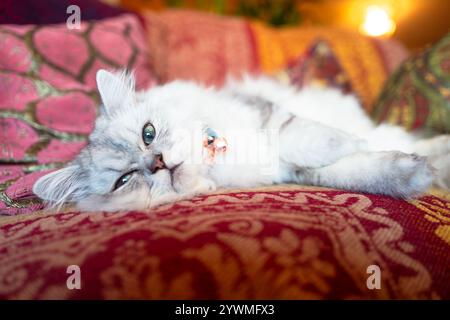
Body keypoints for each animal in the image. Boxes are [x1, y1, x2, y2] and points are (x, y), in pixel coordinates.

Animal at [32, 69, 450, 212]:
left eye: (148, 133)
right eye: (124, 180)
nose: (158, 164)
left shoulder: (266, 115)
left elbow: (302, 136)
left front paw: (349, 141)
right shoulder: (292, 173)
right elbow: (353, 171)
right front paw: (411, 176)